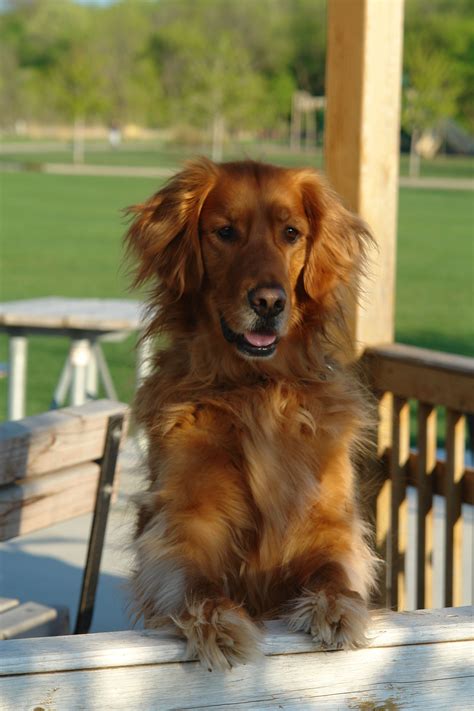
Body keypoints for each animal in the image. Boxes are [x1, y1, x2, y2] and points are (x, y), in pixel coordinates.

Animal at [126, 159, 378, 672]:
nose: (268, 302)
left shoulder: (331, 522)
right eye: (225, 232)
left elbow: (333, 568)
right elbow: (194, 579)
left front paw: (338, 608)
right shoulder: (183, 520)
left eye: (290, 233)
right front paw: (217, 623)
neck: (254, 388)